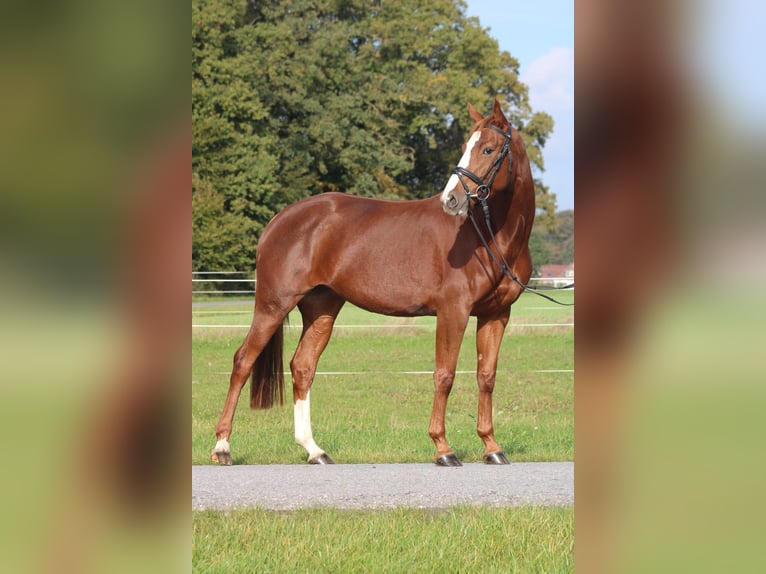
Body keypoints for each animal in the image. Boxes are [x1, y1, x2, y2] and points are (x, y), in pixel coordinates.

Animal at [210, 100, 536, 468]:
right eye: (467, 146)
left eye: (488, 149)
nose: (451, 200)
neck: (488, 236)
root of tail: (279, 220)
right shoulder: (453, 311)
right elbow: (445, 374)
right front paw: (443, 448)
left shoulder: (496, 314)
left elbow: (486, 377)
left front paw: (492, 446)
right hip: (272, 305)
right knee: (243, 362)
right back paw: (222, 446)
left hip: (321, 308)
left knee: (303, 367)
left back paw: (314, 450)